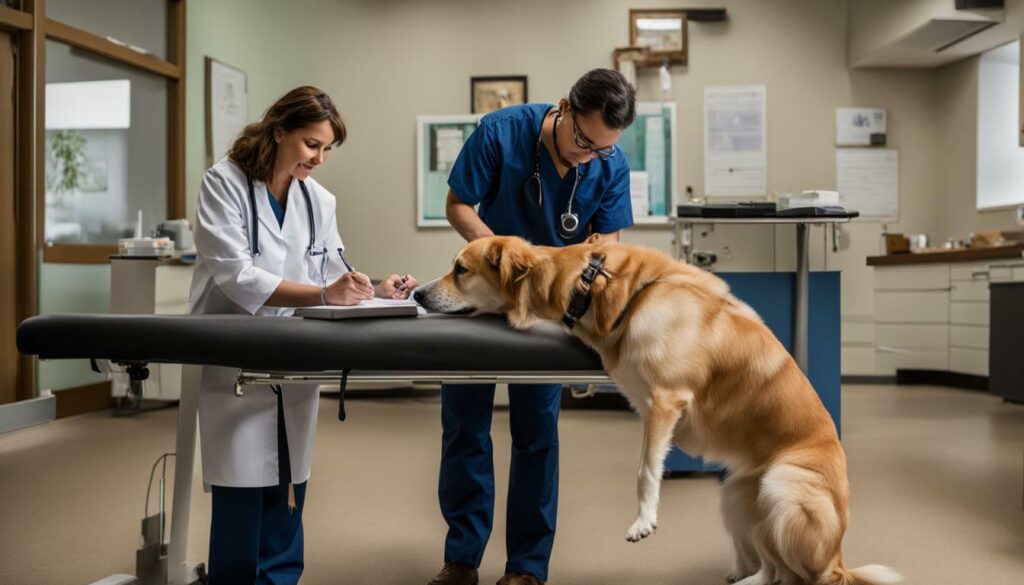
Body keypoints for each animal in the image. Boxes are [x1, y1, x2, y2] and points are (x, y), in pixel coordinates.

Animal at [411, 236, 901, 585]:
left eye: (460, 269)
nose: (415, 292)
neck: (593, 284)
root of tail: (838, 560)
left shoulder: (666, 401)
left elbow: (646, 470)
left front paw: (644, 522)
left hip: (783, 485)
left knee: (796, 576)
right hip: (737, 494)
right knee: (772, 570)